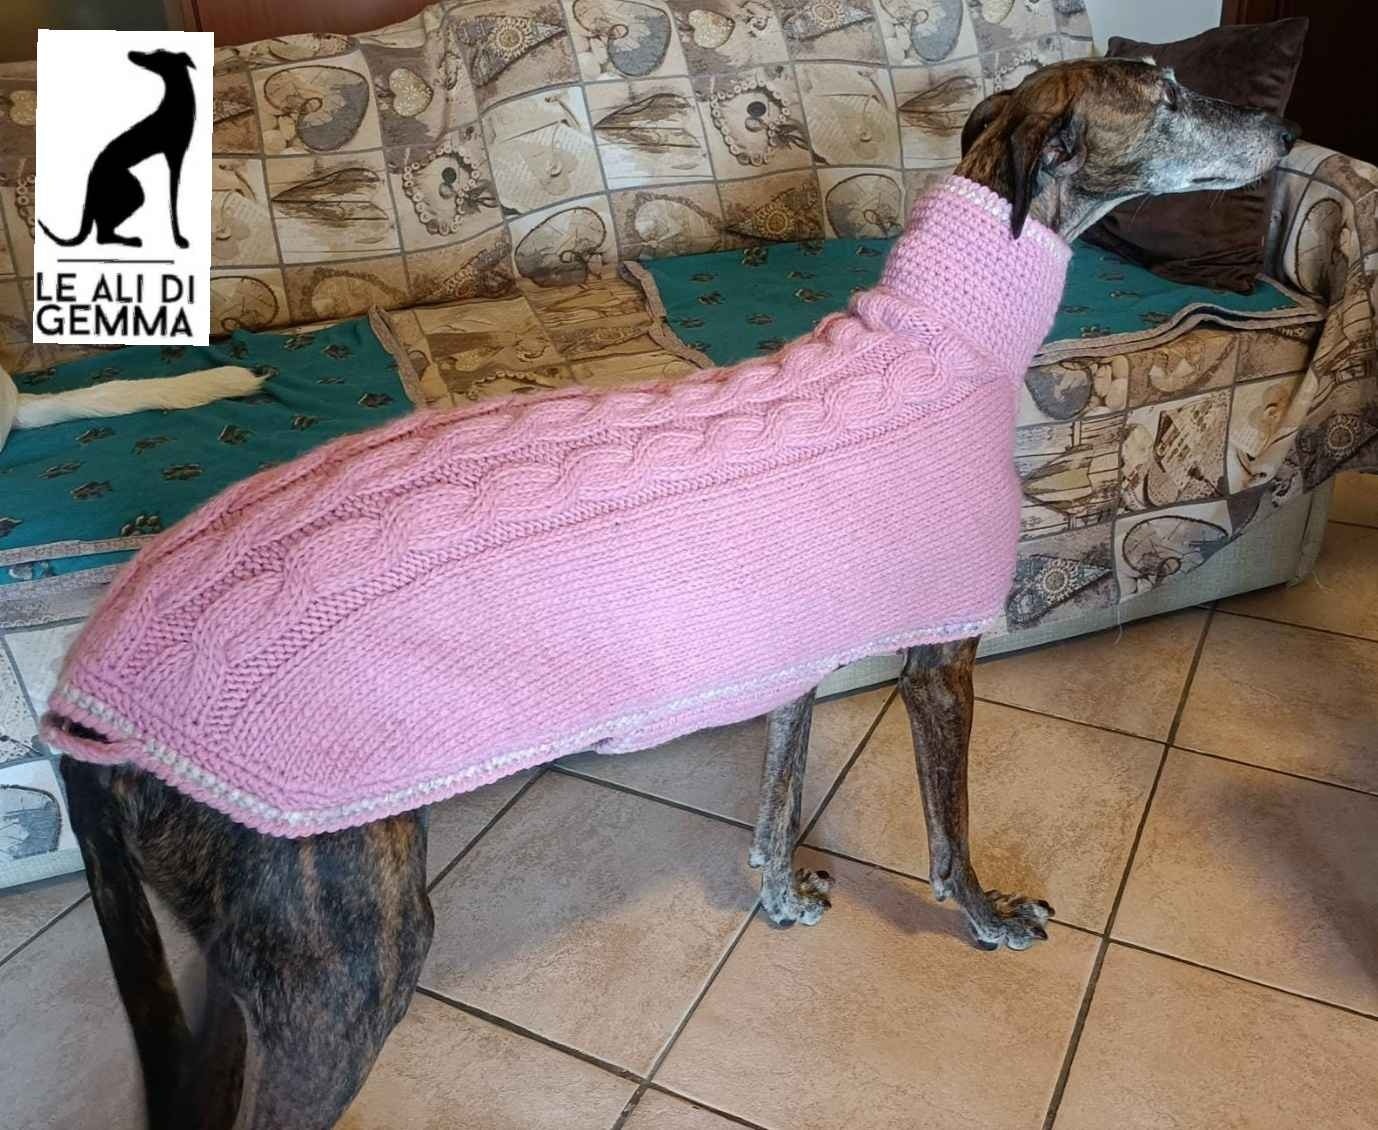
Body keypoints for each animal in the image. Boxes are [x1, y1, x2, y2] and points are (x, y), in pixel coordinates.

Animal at [38, 49, 196, 250]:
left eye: (156, 55)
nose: (132, 53)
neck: (176, 103)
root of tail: (92, 176)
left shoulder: (175, 156)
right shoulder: (175, 156)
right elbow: (173, 201)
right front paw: (179, 239)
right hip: (129, 189)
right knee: (102, 235)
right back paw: (131, 240)